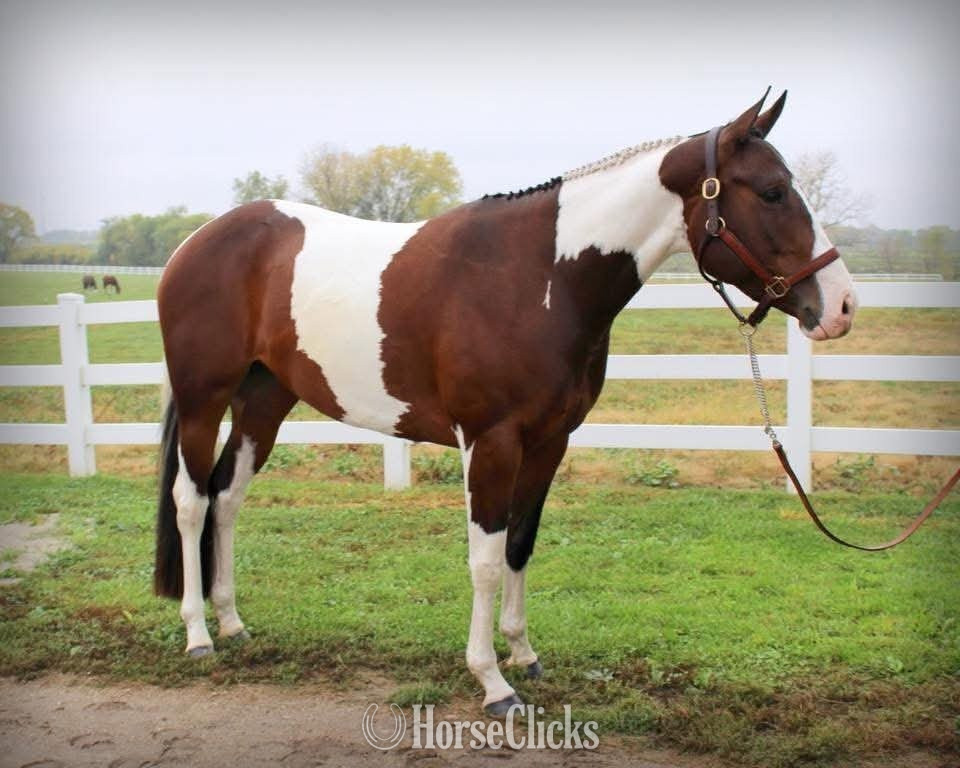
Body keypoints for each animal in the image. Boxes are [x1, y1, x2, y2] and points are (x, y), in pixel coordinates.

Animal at [154, 91, 857, 716]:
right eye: (771, 191)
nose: (842, 306)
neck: (540, 277)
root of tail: (194, 242)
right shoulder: (490, 442)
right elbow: (486, 559)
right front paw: (492, 682)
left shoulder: (549, 441)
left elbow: (521, 542)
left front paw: (523, 653)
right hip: (203, 400)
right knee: (192, 501)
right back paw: (198, 635)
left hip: (264, 401)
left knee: (228, 497)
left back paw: (232, 621)